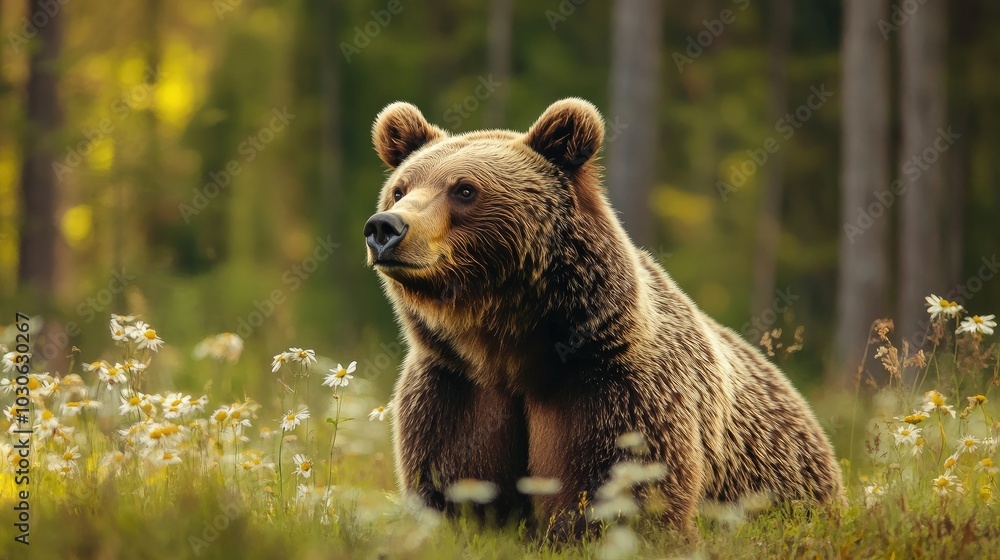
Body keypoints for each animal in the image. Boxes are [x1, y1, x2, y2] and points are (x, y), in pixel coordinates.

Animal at [364, 98, 844, 538]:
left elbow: (618, 494)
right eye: (401, 188)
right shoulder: (455, 386)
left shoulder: (611, 388)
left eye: (464, 188)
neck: (506, 344)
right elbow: (453, 486)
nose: (386, 227)